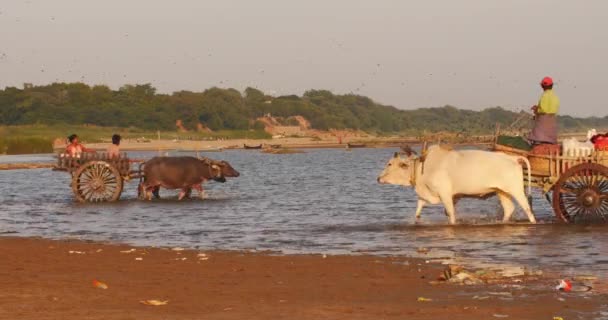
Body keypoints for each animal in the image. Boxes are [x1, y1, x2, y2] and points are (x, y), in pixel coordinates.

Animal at [378, 146, 536, 225]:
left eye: (390, 164)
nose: (378, 178)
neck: (423, 167)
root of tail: (513, 158)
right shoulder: (427, 194)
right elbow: (418, 210)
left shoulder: (445, 194)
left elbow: (451, 214)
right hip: (501, 192)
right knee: (509, 209)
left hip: (516, 190)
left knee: (527, 208)